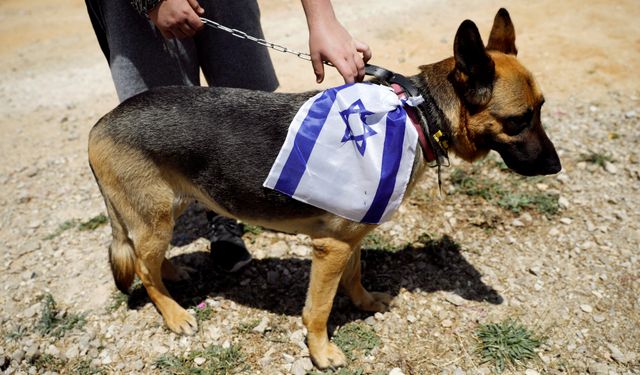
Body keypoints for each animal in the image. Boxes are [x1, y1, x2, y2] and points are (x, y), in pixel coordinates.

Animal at [86, 9, 560, 370]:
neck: (416, 113)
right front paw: (320, 352)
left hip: (168, 211)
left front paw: (365, 302)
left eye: (541, 110)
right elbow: (318, 307)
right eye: (518, 120)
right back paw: (173, 313)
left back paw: (172, 274)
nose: (556, 167)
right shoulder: (329, 248)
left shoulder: (352, 239)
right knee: (142, 267)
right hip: (157, 217)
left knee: (147, 258)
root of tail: (100, 123)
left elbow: (354, 276)